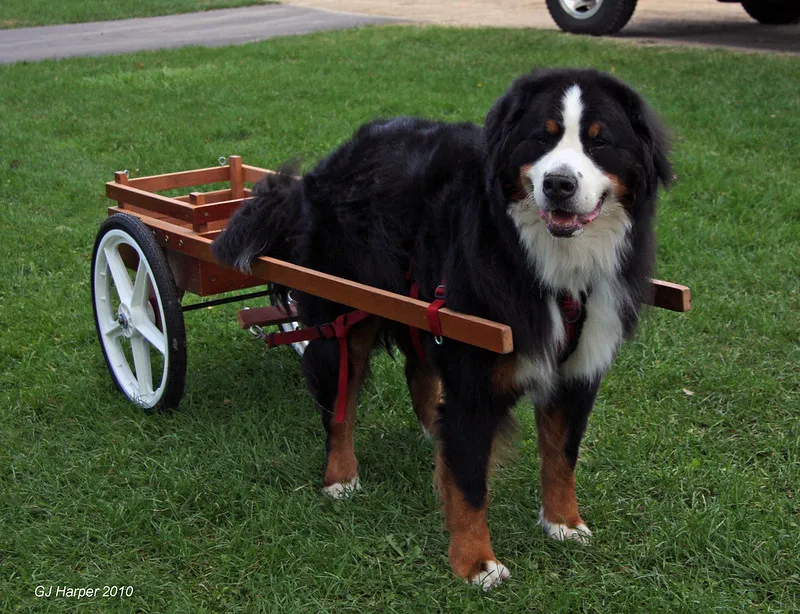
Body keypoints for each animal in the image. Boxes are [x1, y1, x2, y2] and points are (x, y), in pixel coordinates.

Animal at [211, 68, 668, 592]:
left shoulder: (578, 370)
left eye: (600, 142)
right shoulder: (474, 378)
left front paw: (563, 523)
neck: (548, 264)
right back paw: (340, 477)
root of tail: (321, 169)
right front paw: (475, 563)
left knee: (417, 374)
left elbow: (560, 456)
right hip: (343, 318)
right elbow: (470, 483)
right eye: (542, 137)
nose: (558, 184)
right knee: (339, 405)